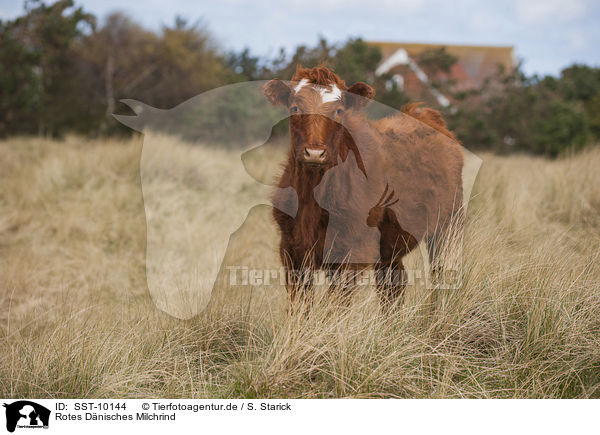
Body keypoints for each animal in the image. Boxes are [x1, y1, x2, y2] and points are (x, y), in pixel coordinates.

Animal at [264, 67, 464, 306]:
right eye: (295, 107)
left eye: (339, 111)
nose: (314, 153)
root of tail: (424, 115)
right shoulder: (292, 251)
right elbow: (300, 303)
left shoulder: (350, 253)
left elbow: (335, 304)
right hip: (389, 248)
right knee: (393, 286)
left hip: (448, 228)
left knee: (441, 274)